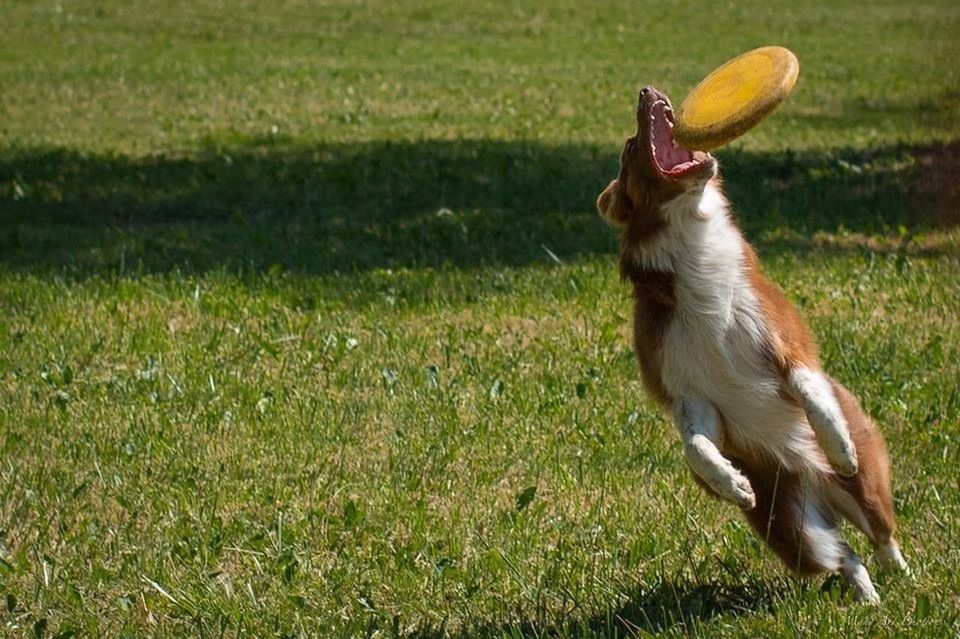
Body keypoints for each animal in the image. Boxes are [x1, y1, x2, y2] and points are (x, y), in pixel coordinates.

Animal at [596, 87, 912, 604]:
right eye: (630, 147)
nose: (647, 91)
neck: (691, 244)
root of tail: (820, 489)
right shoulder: (690, 393)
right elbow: (696, 446)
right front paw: (729, 482)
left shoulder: (784, 341)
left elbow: (810, 389)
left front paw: (837, 442)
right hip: (791, 527)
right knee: (844, 556)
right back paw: (866, 596)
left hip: (864, 490)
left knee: (881, 534)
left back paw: (899, 574)